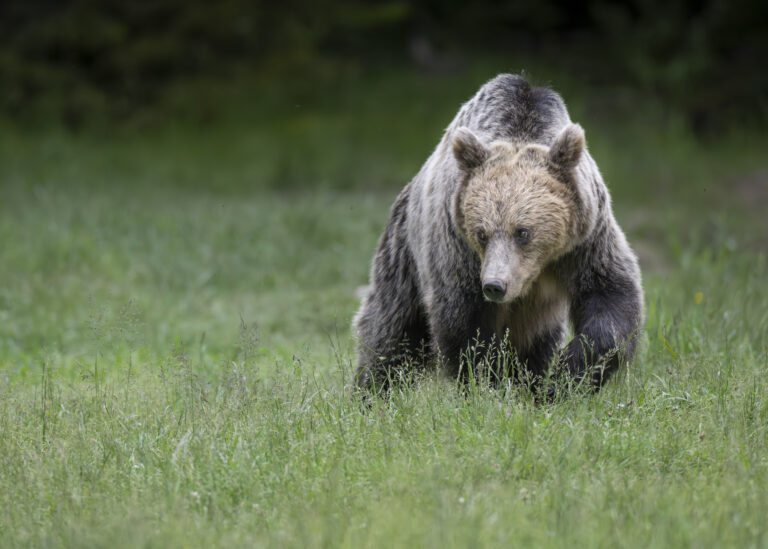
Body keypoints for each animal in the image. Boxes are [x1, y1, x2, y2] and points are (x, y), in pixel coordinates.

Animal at [353, 74, 643, 396]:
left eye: (523, 232)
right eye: (482, 233)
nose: (495, 285)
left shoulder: (585, 240)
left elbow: (610, 298)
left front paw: (562, 379)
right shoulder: (457, 245)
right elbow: (464, 326)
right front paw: (486, 385)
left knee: (536, 342)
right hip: (404, 252)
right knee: (392, 330)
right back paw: (372, 390)